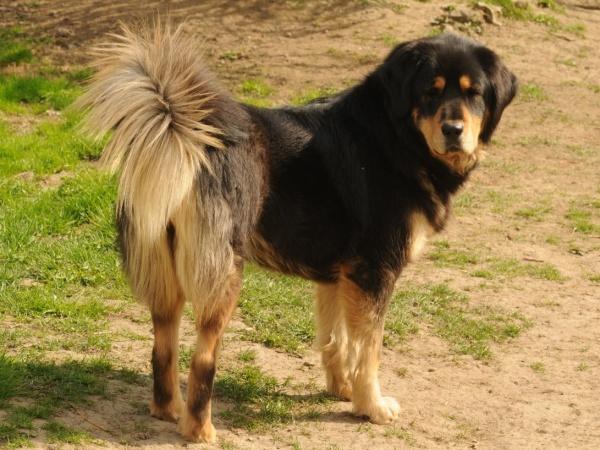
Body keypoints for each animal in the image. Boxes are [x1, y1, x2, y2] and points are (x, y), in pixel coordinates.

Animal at [77, 23, 517, 442]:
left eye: (474, 93)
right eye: (430, 91)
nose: (453, 129)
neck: (394, 136)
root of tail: (187, 136)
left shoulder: (339, 276)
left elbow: (336, 341)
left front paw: (342, 390)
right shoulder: (375, 273)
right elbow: (369, 349)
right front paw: (370, 406)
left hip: (166, 274)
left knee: (162, 348)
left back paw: (169, 410)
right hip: (224, 274)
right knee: (202, 360)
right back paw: (199, 430)